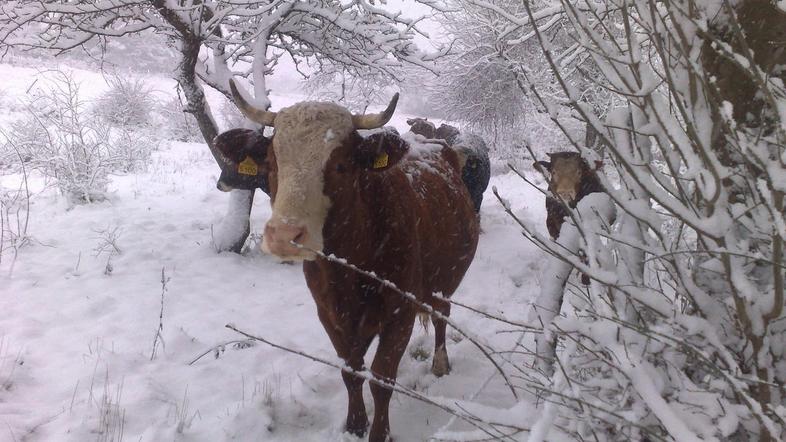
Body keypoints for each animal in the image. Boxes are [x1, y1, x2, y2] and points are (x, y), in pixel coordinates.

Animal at [227, 79, 478, 442]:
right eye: (272, 163)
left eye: (340, 165)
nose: (284, 235)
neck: (348, 269)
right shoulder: (330, 314)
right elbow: (352, 371)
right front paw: (355, 424)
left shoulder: (399, 315)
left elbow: (382, 380)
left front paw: (379, 432)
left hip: (445, 279)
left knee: (441, 314)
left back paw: (440, 363)